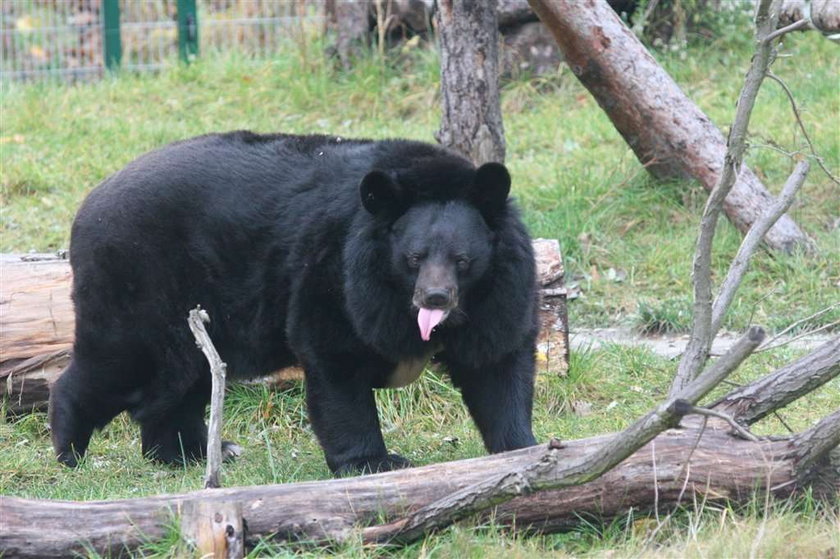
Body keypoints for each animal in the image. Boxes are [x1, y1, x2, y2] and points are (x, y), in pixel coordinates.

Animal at [50, 132, 540, 476]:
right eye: (413, 258)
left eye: (463, 260)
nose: (435, 297)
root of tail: (89, 203)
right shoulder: (335, 273)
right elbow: (337, 361)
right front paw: (375, 463)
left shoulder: (501, 294)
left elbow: (496, 364)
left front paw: (521, 447)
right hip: (139, 281)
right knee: (118, 363)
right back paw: (71, 450)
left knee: (180, 382)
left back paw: (194, 453)